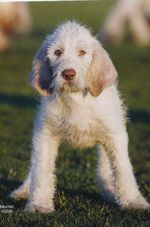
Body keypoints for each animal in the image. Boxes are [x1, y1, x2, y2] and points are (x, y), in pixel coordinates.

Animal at [9, 20, 149, 212]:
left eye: (82, 52)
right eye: (57, 52)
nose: (68, 74)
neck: (76, 98)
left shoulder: (114, 135)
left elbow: (123, 170)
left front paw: (133, 201)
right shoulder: (45, 134)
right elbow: (41, 169)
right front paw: (38, 204)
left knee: (105, 168)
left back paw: (110, 191)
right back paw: (23, 190)